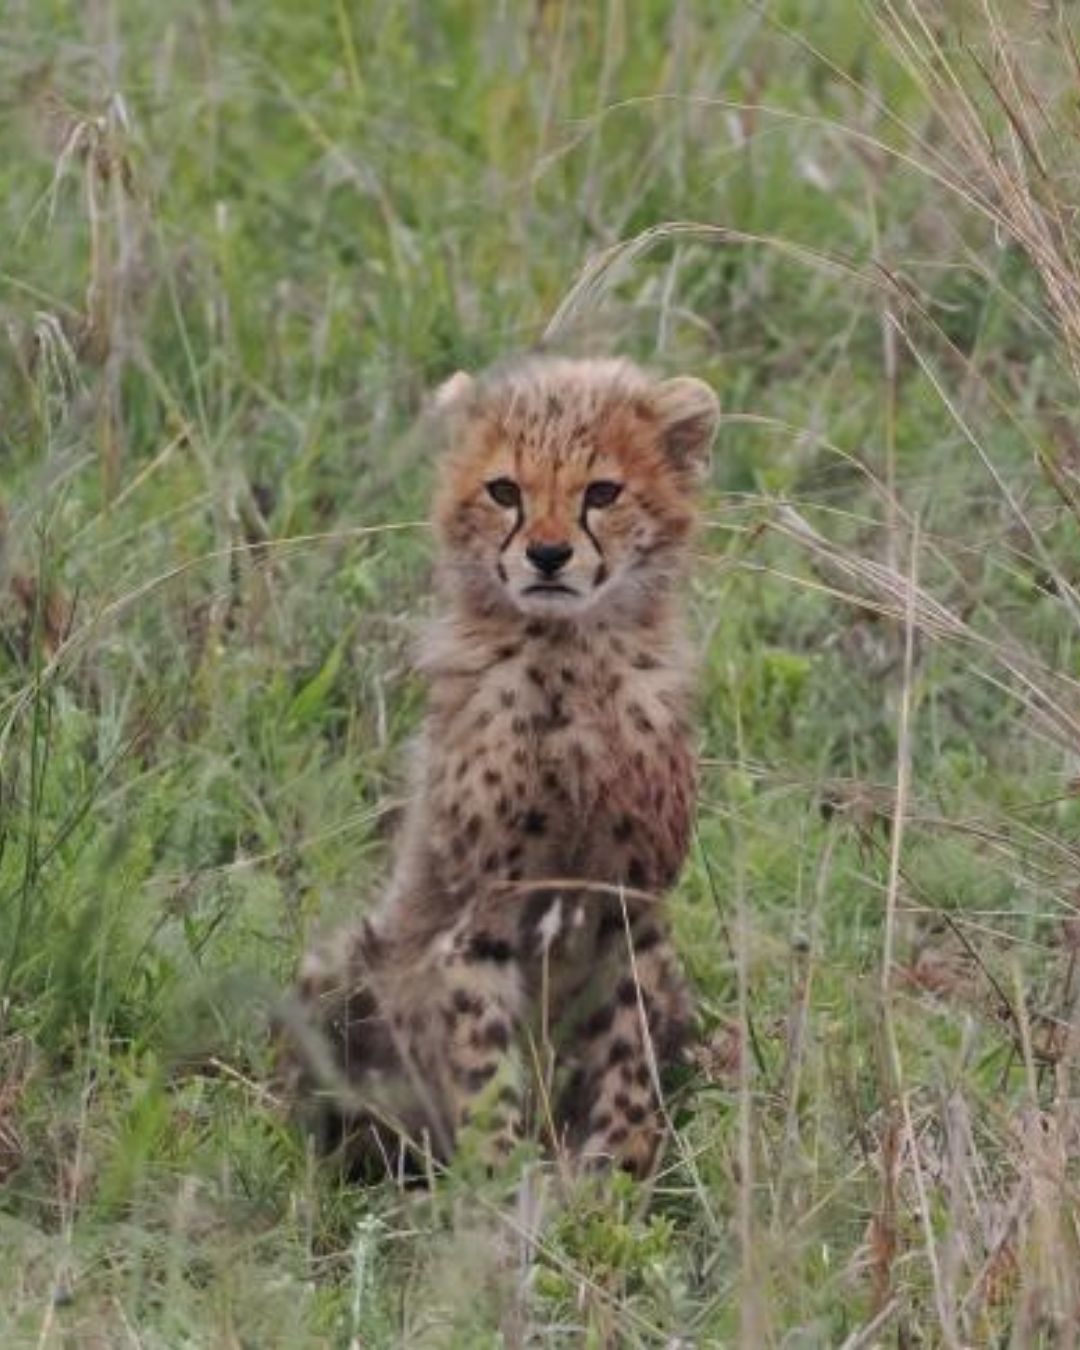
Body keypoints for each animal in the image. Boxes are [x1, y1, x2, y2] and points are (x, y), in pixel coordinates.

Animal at [283, 354, 719, 1181]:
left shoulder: (630, 909)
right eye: (504, 491)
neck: (570, 659)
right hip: (347, 965)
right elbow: (484, 1067)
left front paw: (613, 1180)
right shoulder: (478, 915)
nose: (547, 555)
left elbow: (627, 1066)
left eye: (602, 493)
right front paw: (498, 1185)